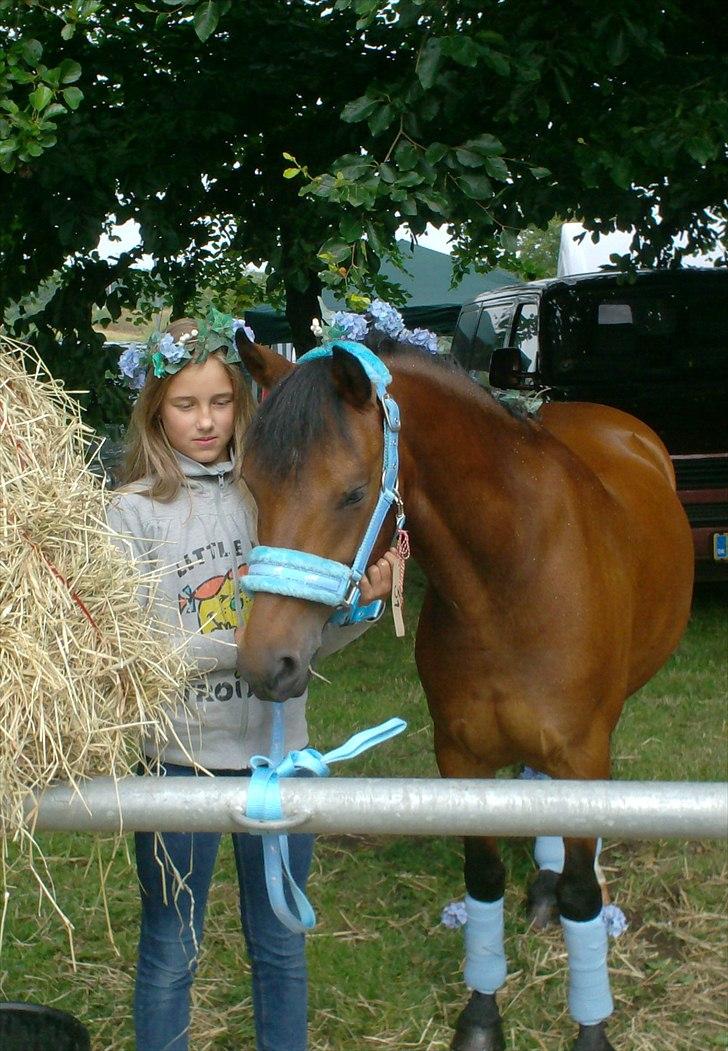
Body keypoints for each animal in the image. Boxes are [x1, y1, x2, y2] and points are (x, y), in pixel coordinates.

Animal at [233, 334, 693, 1051]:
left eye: (353, 493)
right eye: (252, 484)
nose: (266, 663)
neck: (511, 577)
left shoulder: (585, 757)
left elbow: (583, 898)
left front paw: (590, 1027)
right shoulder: (460, 757)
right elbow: (482, 880)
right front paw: (481, 1017)